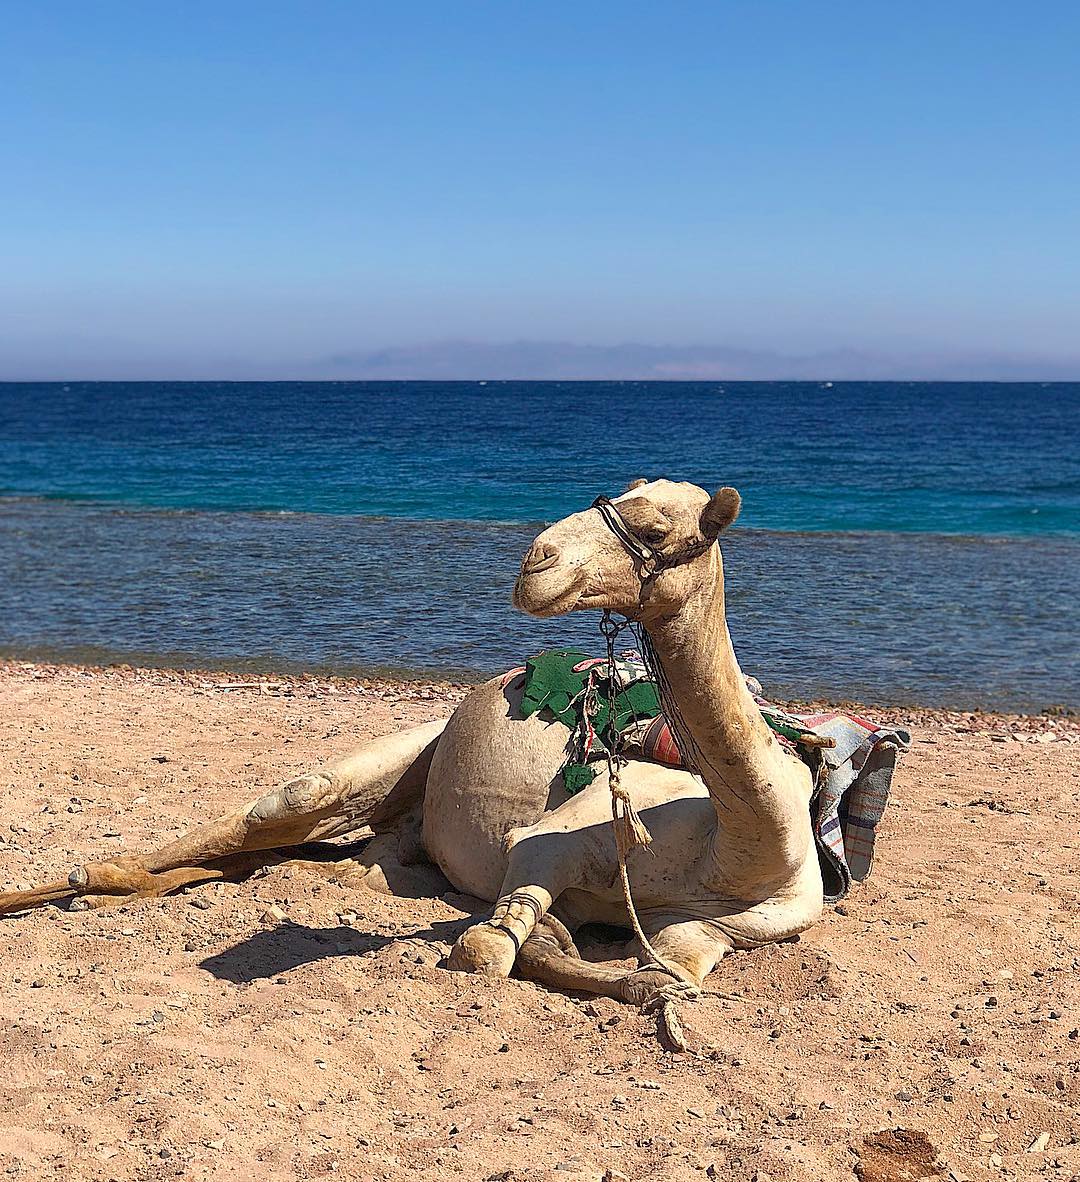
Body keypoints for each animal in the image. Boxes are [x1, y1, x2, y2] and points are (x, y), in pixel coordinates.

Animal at [1, 479, 824, 1010]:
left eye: (653, 532)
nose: (536, 560)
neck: (730, 846)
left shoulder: (736, 925)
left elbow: (669, 970)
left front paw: (633, 978)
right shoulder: (549, 840)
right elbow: (489, 949)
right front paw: (550, 940)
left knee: (274, 859)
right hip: (382, 762)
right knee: (257, 818)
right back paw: (81, 877)